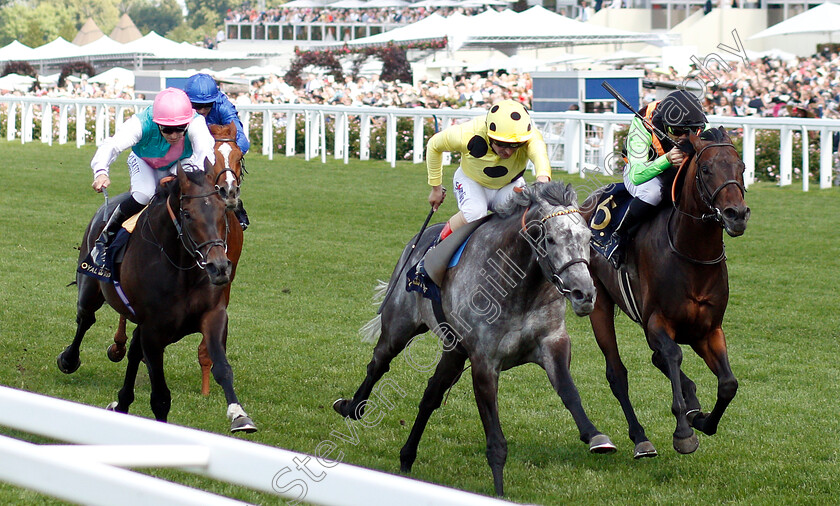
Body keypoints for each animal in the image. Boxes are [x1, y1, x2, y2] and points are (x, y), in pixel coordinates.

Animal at [58, 164, 256, 432]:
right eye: (187, 214)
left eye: (221, 211)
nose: (220, 267)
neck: (182, 269)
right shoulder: (153, 331)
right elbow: (160, 397)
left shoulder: (213, 315)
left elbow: (222, 368)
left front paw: (239, 415)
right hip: (90, 289)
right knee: (86, 320)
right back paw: (69, 360)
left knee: (131, 350)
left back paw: (122, 402)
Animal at [334, 181, 616, 494]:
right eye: (551, 239)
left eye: (588, 238)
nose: (584, 294)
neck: (519, 287)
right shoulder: (484, 361)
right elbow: (495, 439)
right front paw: (499, 491)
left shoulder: (553, 342)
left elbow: (569, 392)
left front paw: (594, 435)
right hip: (400, 326)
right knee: (378, 363)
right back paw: (352, 407)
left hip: (454, 351)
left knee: (430, 395)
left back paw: (407, 457)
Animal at [580, 127, 752, 458]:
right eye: (706, 169)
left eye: (742, 167)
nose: (736, 214)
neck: (692, 255)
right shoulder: (657, 322)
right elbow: (673, 355)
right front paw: (684, 431)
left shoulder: (708, 329)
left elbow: (728, 383)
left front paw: (702, 419)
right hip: (599, 303)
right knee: (617, 374)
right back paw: (640, 439)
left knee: (656, 360)